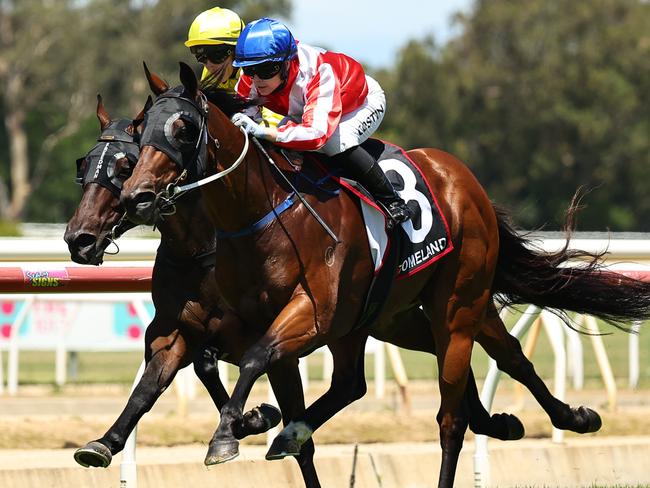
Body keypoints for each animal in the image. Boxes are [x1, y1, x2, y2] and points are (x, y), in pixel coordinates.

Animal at [63, 95, 322, 484]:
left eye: (125, 166)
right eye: (86, 165)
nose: (79, 238)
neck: (199, 250)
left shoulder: (258, 331)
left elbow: (209, 363)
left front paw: (253, 419)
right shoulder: (174, 330)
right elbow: (148, 388)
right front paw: (105, 442)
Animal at [120, 65, 648, 488]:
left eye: (184, 128)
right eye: (139, 130)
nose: (136, 196)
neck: (261, 214)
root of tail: (463, 178)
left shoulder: (314, 314)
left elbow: (252, 358)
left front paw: (227, 435)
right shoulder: (252, 320)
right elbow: (233, 361)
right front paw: (257, 423)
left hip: (456, 305)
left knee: (450, 416)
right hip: (397, 315)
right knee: (495, 357)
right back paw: (565, 416)